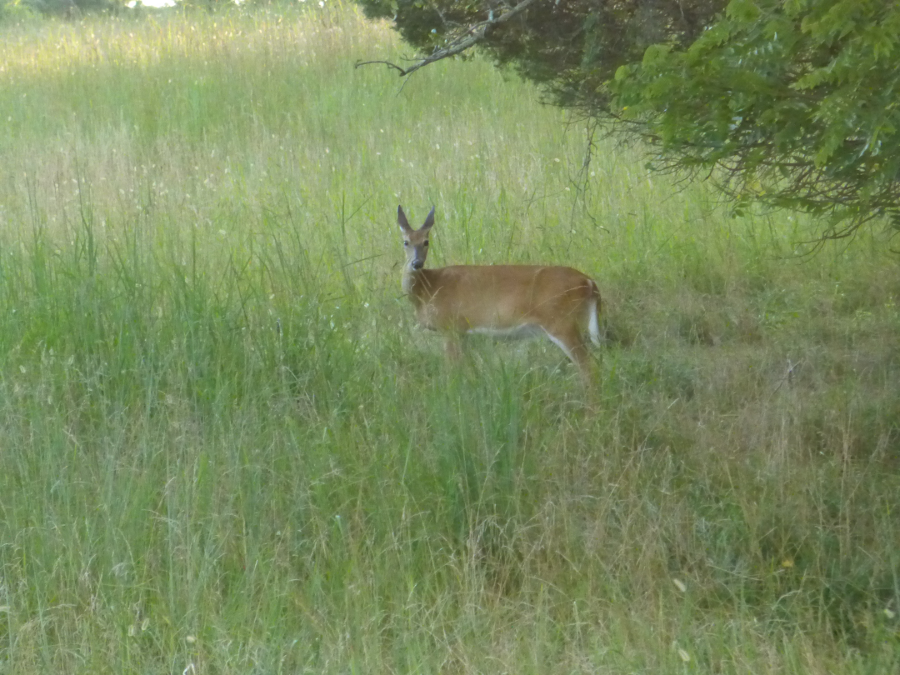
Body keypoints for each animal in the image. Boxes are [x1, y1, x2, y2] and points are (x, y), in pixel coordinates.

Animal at [398, 203, 600, 382]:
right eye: (406, 242)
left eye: (426, 242)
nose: (417, 263)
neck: (428, 288)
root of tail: (589, 282)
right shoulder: (463, 332)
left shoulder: (450, 326)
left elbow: (452, 371)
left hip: (561, 322)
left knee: (588, 366)